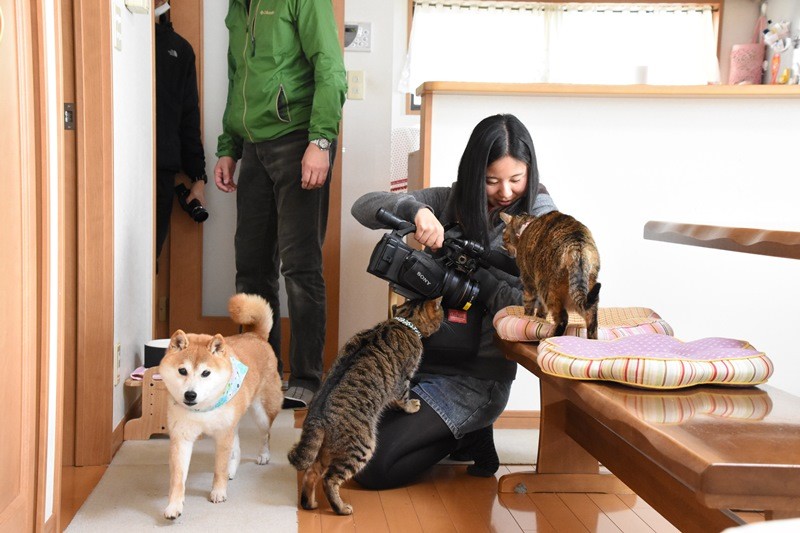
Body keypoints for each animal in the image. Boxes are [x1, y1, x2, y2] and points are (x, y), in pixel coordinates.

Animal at [159, 293, 283, 519]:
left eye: (206, 373)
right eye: (182, 371)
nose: (190, 394)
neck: (202, 408)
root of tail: (256, 336)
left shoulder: (223, 434)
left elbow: (219, 468)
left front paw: (218, 491)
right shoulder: (182, 437)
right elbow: (178, 478)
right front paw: (174, 505)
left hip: (261, 413)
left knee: (265, 435)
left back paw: (263, 456)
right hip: (234, 422)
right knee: (238, 447)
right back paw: (232, 470)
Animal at [287, 297, 444, 515]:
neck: (403, 321)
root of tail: (317, 417)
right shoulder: (403, 379)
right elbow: (403, 397)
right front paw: (411, 406)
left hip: (327, 450)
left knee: (312, 472)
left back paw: (310, 504)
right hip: (362, 447)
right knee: (329, 480)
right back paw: (341, 508)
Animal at [499, 210, 601, 339]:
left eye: (505, 239)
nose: (506, 251)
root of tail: (577, 245)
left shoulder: (528, 281)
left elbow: (528, 305)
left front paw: (527, 317)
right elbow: (542, 309)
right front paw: (539, 318)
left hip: (547, 288)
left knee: (563, 318)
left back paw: (552, 336)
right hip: (585, 288)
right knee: (591, 315)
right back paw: (592, 339)